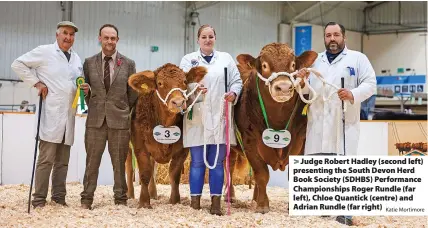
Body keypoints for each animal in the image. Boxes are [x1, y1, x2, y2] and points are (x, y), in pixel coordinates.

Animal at [125, 63, 207, 208]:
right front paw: (144, 202)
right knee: (129, 168)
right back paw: (130, 194)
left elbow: (174, 174)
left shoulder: (182, 150)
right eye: (160, 83)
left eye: (184, 81)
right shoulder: (140, 147)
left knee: (153, 167)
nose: (178, 102)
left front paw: (175, 200)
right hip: (129, 147)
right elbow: (144, 173)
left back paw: (153, 194)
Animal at [227, 43, 318, 214]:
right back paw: (231, 196)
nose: (283, 87)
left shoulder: (302, 141)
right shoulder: (250, 142)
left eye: (293, 65)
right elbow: (262, 173)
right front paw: (263, 205)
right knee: (228, 167)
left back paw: (254, 198)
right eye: (264, 65)